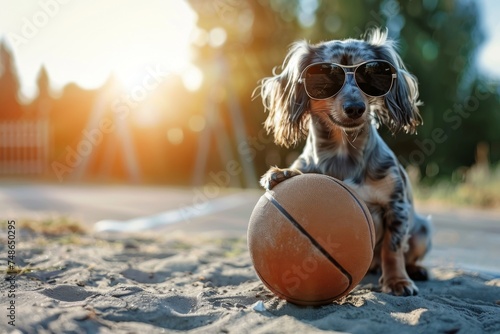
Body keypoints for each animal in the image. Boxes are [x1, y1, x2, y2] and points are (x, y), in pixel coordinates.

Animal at [256, 28, 432, 294]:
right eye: (325, 77)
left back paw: (415, 270)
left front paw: (397, 281)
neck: (343, 151)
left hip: (423, 231)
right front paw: (282, 173)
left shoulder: (396, 206)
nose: (355, 107)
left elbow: (392, 248)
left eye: (371, 74)